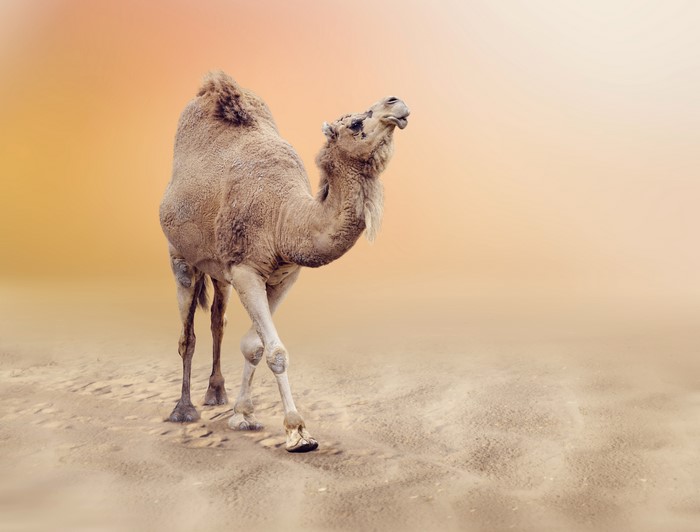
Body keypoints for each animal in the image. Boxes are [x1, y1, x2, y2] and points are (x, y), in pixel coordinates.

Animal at [159, 71, 409, 452]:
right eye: (354, 123)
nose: (396, 102)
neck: (285, 220)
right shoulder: (246, 270)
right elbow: (275, 351)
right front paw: (297, 432)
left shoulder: (283, 276)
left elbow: (253, 347)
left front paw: (243, 415)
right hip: (179, 255)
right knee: (187, 334)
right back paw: (184, 409)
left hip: (218, 267)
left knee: (218, 319)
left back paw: (216, 393)